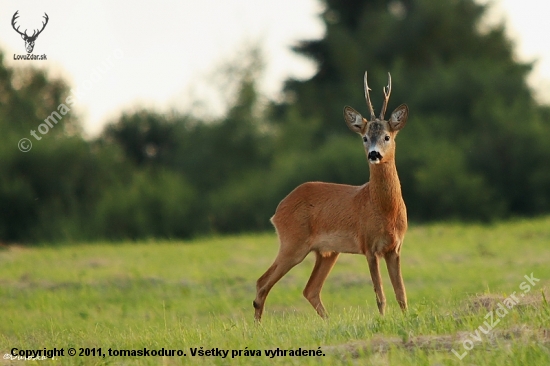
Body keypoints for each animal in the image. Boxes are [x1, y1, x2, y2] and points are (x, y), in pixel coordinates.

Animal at [254, 71, 410, 320]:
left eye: (387, 136)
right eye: (365, 137)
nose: (374, 154)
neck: (385, 210)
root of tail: (278, 211)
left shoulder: (394, 248)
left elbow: (401, 293)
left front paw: (406, 319)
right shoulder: (369, 246)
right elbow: (380, 296)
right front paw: (383, 320)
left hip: (326, 252)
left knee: (310, 289)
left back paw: (327, 321)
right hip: (293, 243)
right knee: (262, 282)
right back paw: (258, 326)